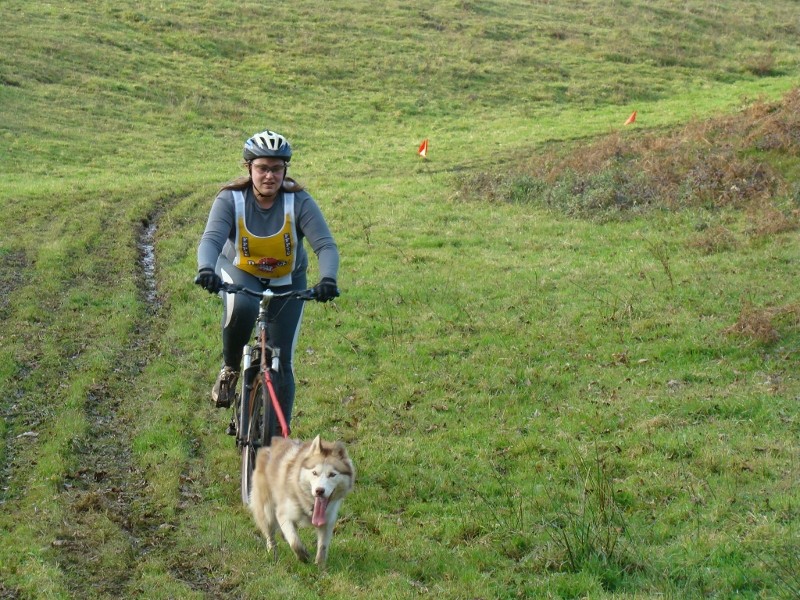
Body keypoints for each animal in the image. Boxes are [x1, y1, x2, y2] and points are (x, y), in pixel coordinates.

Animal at [247, 436, 354, 568]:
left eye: (332, 475)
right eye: (314, 473)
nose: (319, 491)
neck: (309, 505)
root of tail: (268, 446)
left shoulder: (327, 521)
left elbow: (322, 546)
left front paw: (320, 566)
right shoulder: (283, 515)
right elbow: (294, 542)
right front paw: (303, 556)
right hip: (267, 511)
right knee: (270, 534)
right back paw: (272, 553)